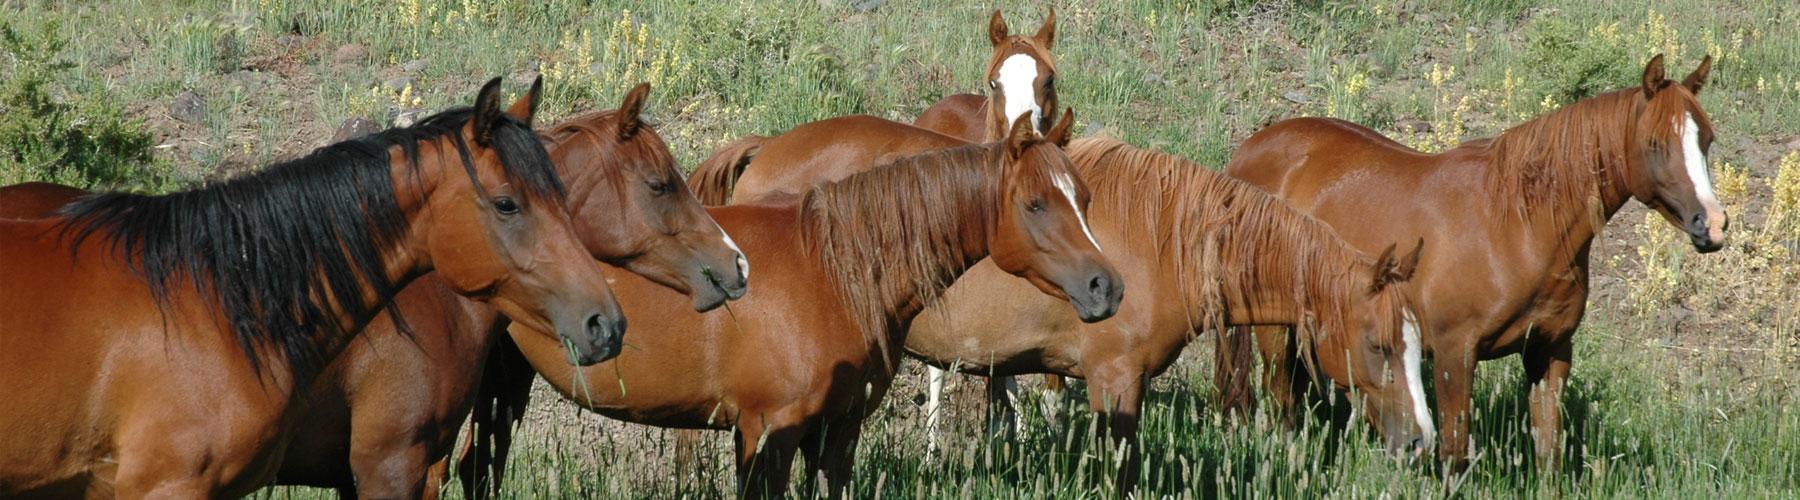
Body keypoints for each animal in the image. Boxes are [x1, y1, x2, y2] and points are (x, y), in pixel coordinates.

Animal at [474, 111, 1123, 499]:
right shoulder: (768, 434)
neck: (833, 272)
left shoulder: (836, 433)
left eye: (1086, 197)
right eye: (1036, 204)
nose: (1106, 286)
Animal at [1218, 54, 1722, 470]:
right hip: (1273, 332)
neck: (1517, 228)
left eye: (1708, 139)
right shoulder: (1453, 355)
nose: (1713, 224)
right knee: (1282, 403)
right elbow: (1454, 453)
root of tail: (1246, 156)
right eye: (1655, 143)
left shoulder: (1550, 352)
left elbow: (1548, 451)